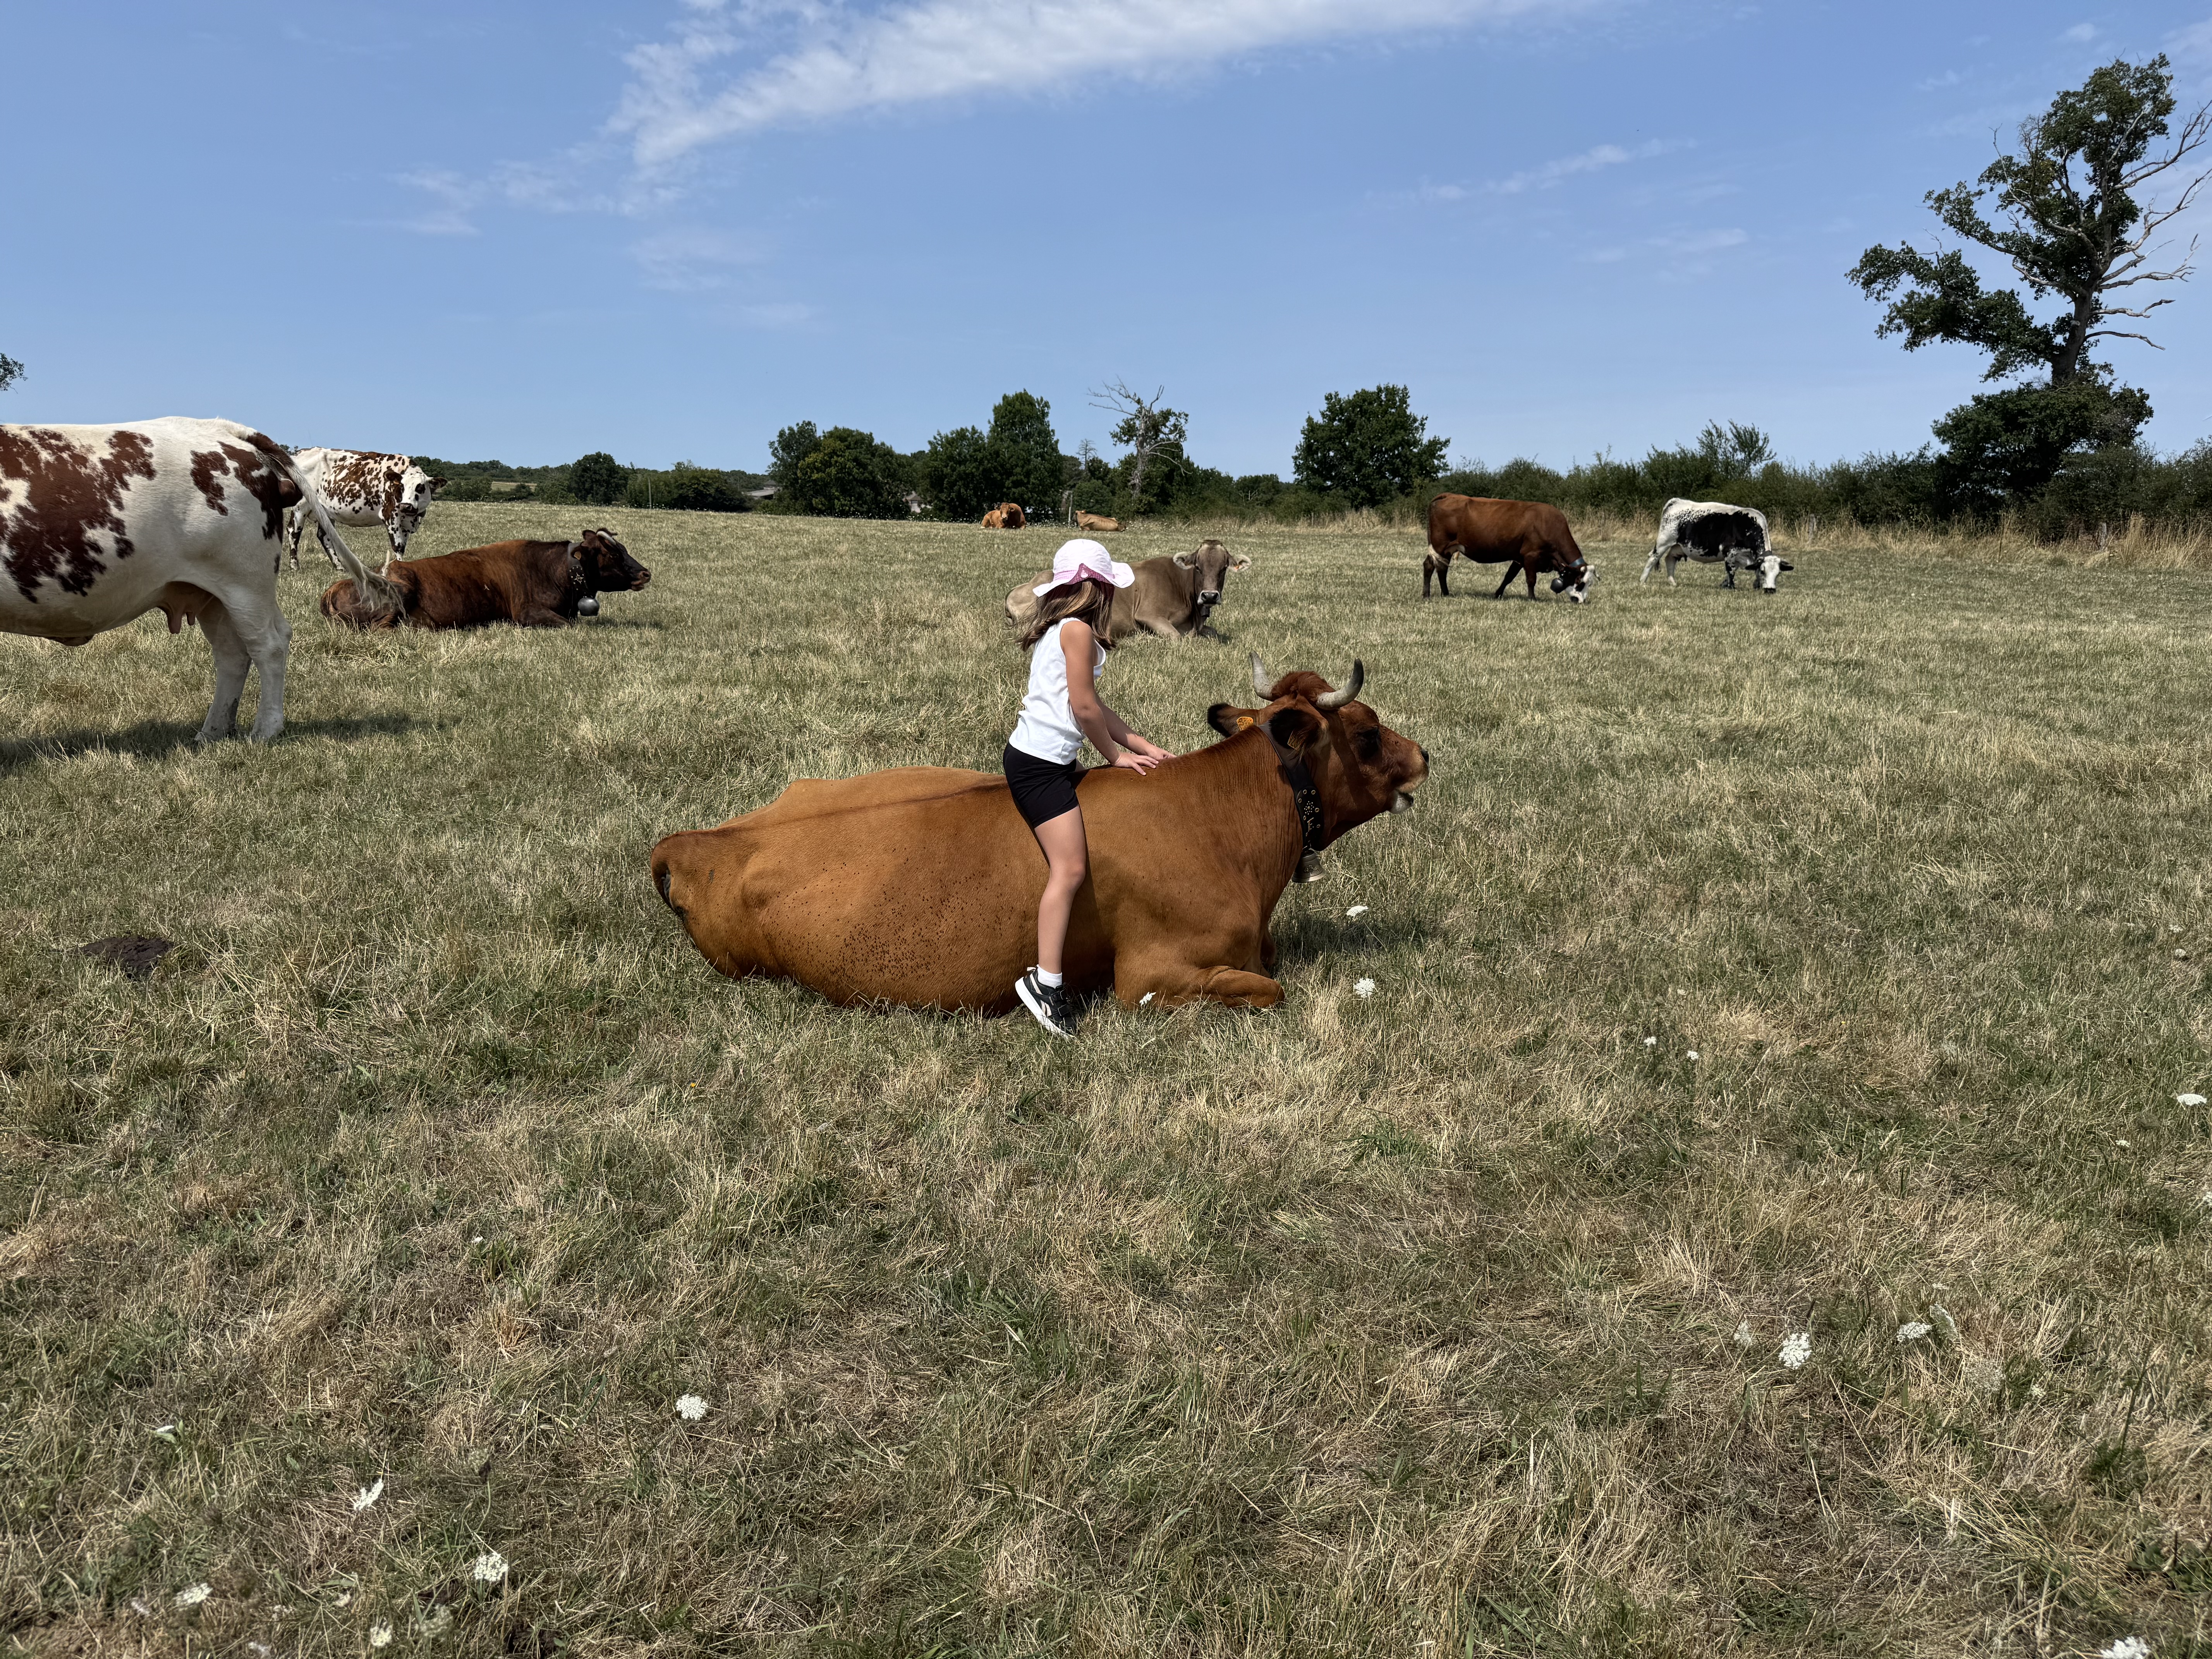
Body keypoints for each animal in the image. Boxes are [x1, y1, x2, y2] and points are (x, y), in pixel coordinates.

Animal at [1, 417, 386, 743]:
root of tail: (220, 428)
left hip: (246, 583)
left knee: (269, 645)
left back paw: (265, 730)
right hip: (214, 593)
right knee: (233, 653)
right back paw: (212, 732)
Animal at [283, 448, 446, 570]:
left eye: (421, 487)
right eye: (401, 486)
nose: (406, 505)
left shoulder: (406, 522)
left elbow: (403, 546)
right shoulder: (390, 515)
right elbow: (398, 546)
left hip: (324, 510)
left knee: (325, 536)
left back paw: (339, 566)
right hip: (301, 506)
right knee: (294, 532)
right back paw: (294, 566)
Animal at [1005, 538, 1251, 642]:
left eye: (1223, 569)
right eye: (1198, 567)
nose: (1209, 596)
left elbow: (1213, 633)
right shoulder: (1149, 614)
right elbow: (1177, 638)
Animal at [1422, 494, 1593, 602]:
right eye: (1580, 583)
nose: (1581, 601)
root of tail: (1449, 496)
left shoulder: (1519, 558)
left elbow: (1508, 577)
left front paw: (1498, 595)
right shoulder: (1530, 556)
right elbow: (1531, 580)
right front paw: (1532, 599)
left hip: (1448, 549)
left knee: (1442, 568)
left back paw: (1446, 594)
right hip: (1440, 545)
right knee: (1430, 566)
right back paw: (1426, 594)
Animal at [1641, 499, 1792, 592]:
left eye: (1778, 574)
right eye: (1764, 571)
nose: (1770, 590)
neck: (1748, 526)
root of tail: (1675, 501)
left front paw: (1756, 585)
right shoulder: (1729, 552)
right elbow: (1731, 571)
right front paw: (1731, 587)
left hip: (1678, 546)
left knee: (1670, 560)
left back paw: (1673, 583)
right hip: (1664, 541)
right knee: (1653, 558)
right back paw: (1643, 581)